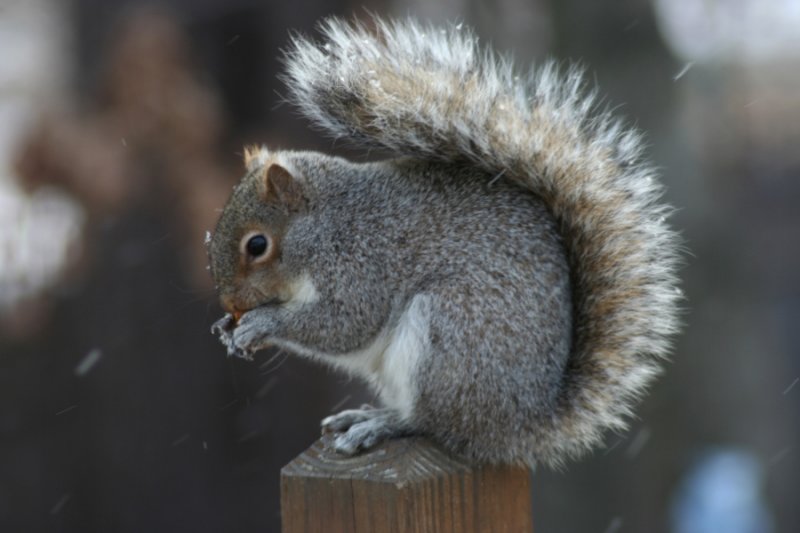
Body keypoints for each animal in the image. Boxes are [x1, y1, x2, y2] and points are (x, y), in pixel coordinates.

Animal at [208, 16, 680, 466]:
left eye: (257, 245)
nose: (230, 303)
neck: (328, 222)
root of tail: (522, 426)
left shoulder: (360, 263)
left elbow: (346, 323)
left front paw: (263, 324)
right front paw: (227, 330)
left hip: (452, 332)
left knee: (432, 423)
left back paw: (382, 424)